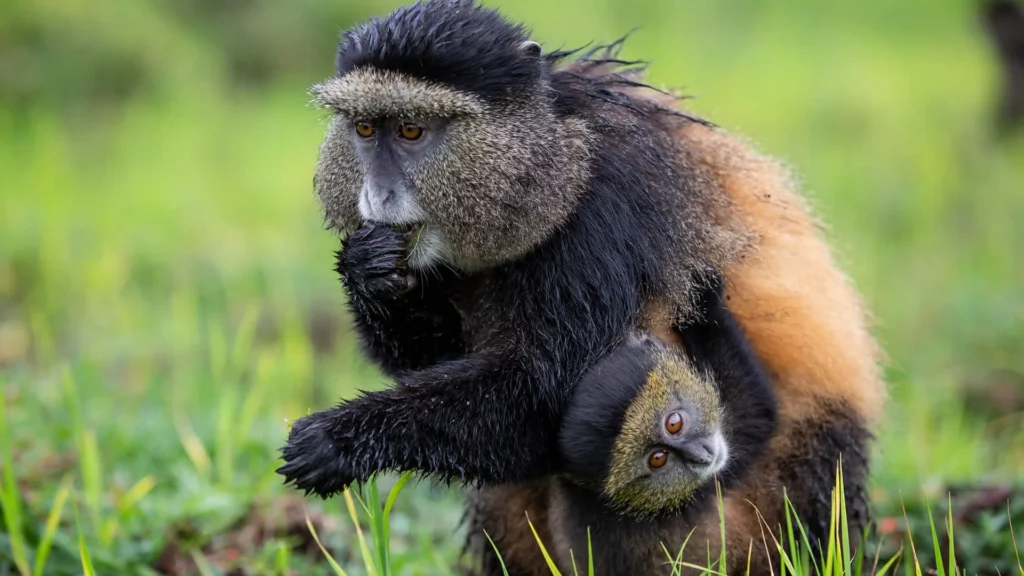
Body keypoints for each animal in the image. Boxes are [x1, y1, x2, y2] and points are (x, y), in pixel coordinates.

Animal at [545, 277, 778, 575]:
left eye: (673, 423)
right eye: (658, 459)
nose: (702, 455)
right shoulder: (702, 487)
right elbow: (757, 415)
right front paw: (706, 297)